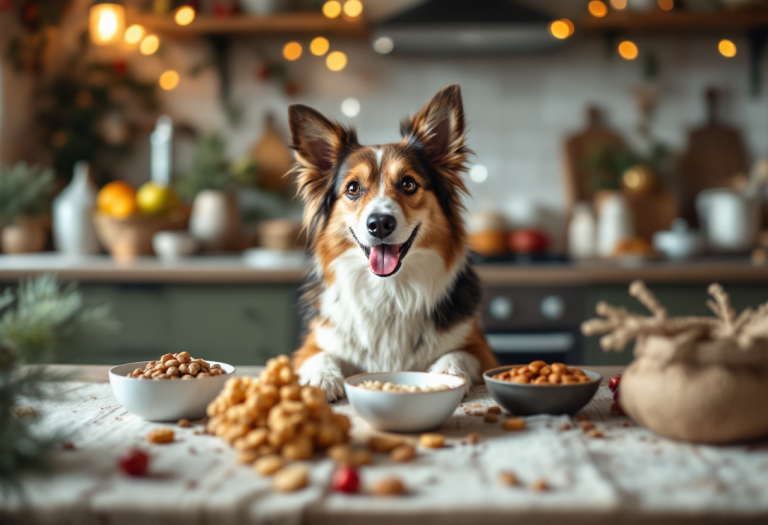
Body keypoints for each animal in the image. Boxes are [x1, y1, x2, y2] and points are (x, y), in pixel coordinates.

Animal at [288, 84, 498, 400]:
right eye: (353, 188)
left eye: (408, 184)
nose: (379, 224)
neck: (389, 292)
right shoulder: (311, 344)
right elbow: (319, 355)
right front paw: (322, 379)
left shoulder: (481, 349)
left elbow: (456, 355)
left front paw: (448, 374)